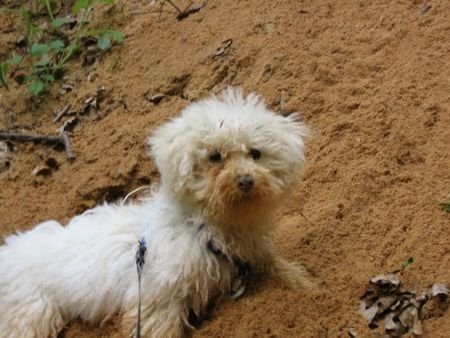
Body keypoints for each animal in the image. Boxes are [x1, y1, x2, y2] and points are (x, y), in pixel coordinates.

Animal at [0, 88, 314, 336]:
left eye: (255, 153)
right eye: (215, 157)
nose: (246, 180)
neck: (205, 228)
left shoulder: (255, 254)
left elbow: (280, 268)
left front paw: (308, 285)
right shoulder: (157, 300)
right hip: (30, 316)